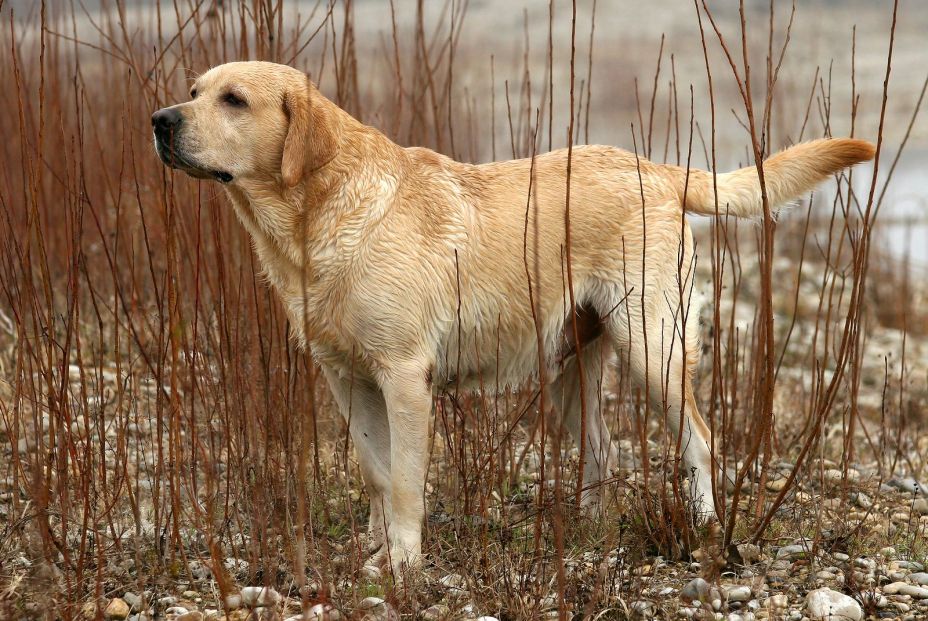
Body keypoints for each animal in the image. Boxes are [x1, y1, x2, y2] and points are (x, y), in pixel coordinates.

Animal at [152, 60, 876, 572]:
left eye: (233, 99)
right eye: (194, 89)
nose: (160, 119)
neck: (320, 216)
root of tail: (658, 169)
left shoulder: (404, 377)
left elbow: (407, 483)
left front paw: (405, 563)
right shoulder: (347, 380)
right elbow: (378, 475)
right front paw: (379, 552)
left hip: (655, 350)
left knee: (699, 437)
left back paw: (700, 526)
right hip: (573, 369)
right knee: (602, 446)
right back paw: (586, 527)